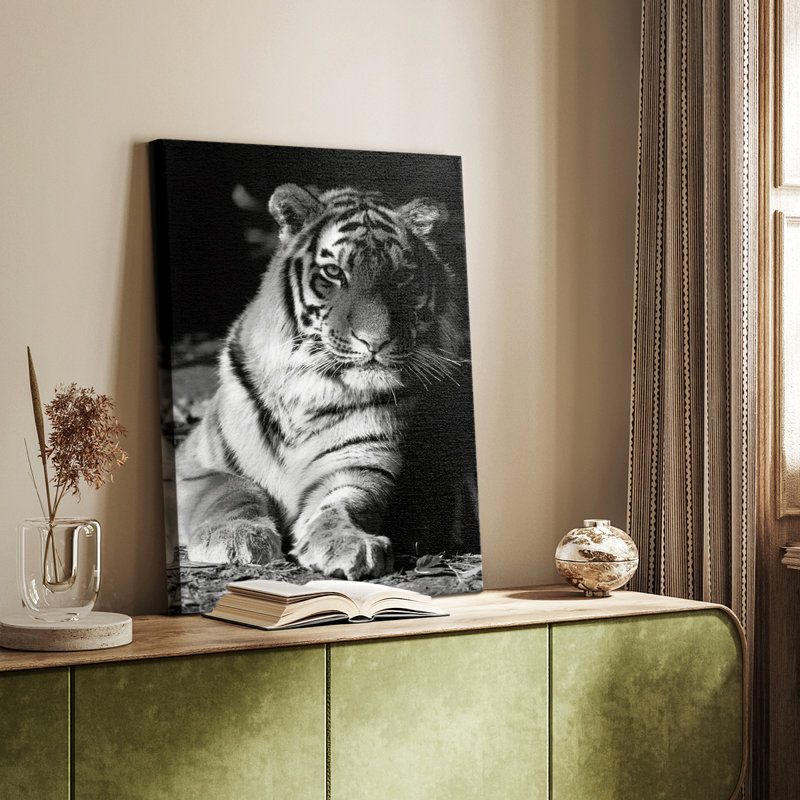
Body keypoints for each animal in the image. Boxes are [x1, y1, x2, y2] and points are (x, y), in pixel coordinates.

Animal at [174, 183, 469, 581]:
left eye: (400, 276)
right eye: (333, 272)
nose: (375, 341)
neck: (309, 390)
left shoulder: (360, 467)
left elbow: (342, 504)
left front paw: (349, 543)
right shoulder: (190, 466)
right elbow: (232, 488)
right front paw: (237, 536)